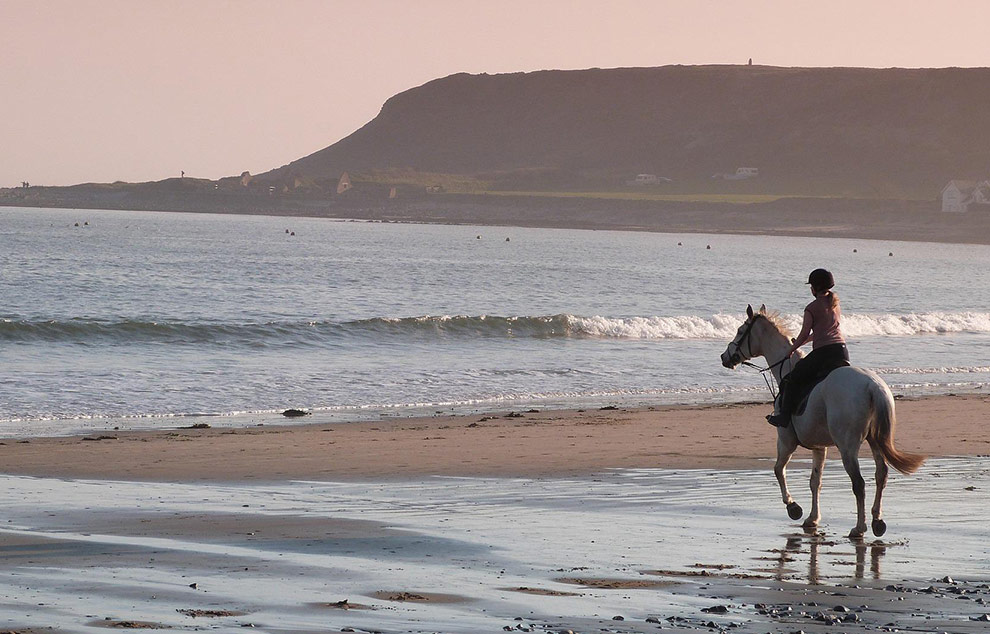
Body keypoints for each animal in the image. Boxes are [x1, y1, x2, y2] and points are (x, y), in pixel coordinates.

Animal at [724, 304, 928, 536]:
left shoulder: (786, 440)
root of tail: (873, 386)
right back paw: (877, 521)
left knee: (859, 483)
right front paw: (812, 518)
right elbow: (816, 481)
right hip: (875, 440)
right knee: (881, 475)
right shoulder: (819, 447)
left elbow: (778, 469)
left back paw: (859, 527)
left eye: (740, 331)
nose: (724, 357)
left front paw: (794, 508)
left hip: (847, 446)